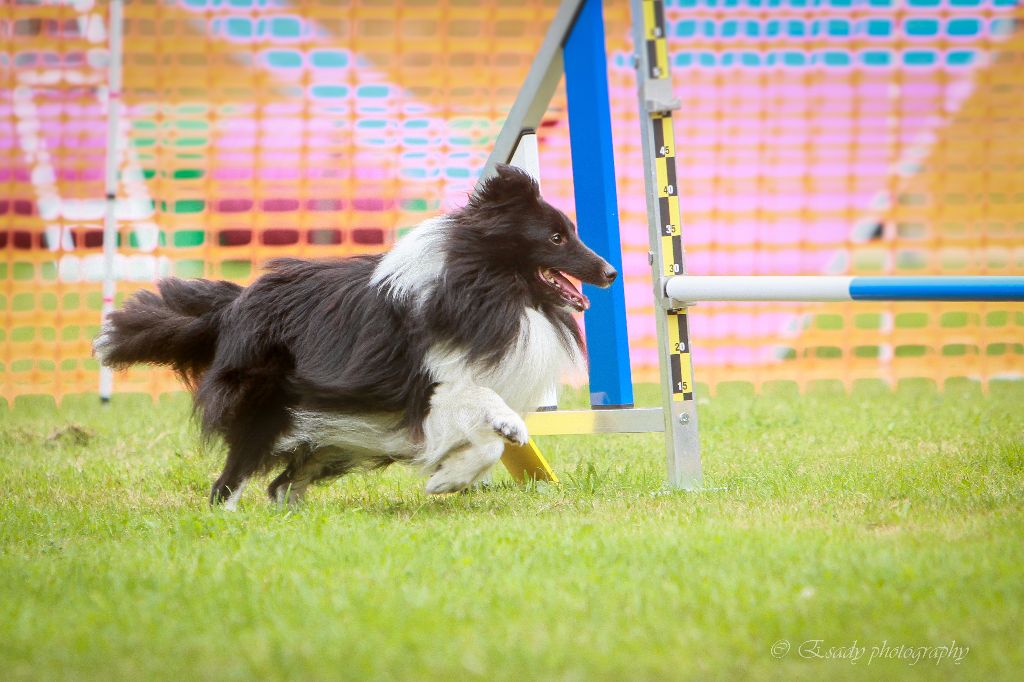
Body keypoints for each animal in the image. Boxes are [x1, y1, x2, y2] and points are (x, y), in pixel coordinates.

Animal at [96, 164, 618, 503]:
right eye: (556, 238)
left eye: (570, 232)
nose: (611, 273)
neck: (479, 285)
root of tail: (233, 304)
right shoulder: (424, 392)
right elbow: (486, 415)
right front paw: (452, 475)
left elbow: (489, 442)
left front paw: (452, 476)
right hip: (268, 406)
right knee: (229, 481)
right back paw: (228, 516)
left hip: (337, 432)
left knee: (281, 484)